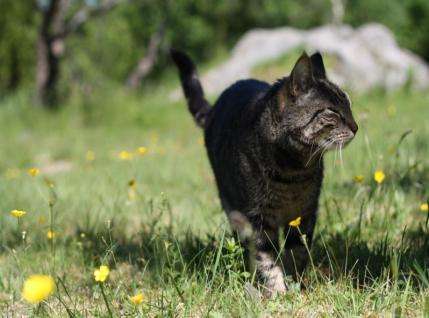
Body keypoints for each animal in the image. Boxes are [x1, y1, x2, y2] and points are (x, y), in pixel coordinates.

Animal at [171, 49, 358, 296]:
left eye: (349, 106)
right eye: (333, 111)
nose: (356, 127)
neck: (293, 171)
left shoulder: (305, 214)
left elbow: (297, 252)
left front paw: (296, 285)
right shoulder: (258, 218)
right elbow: (267, 258)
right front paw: (278, 291)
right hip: (234, 210)